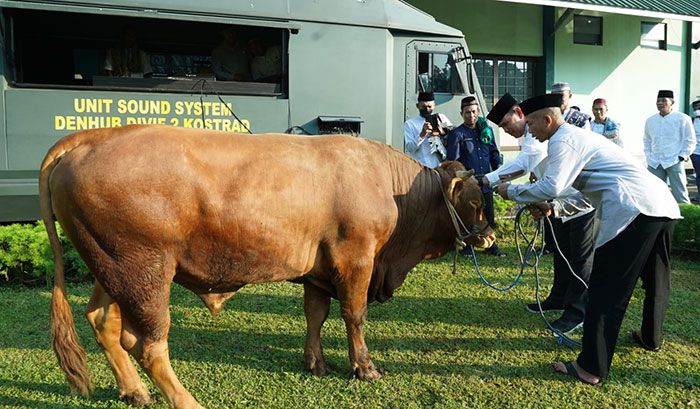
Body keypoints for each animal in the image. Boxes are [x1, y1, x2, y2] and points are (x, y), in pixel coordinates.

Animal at [41, 125, 494, 408]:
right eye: (474, 201)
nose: (490, 236)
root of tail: (93, 137)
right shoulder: (356, 258)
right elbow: (354, 314)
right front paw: (363, 368)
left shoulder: (318, 269)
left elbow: (316, 314)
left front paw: (315, 363)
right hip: (146, 274)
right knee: (148, 345)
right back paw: (186, 400)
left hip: (110, 268)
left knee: (103, 322)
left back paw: (134, 391)